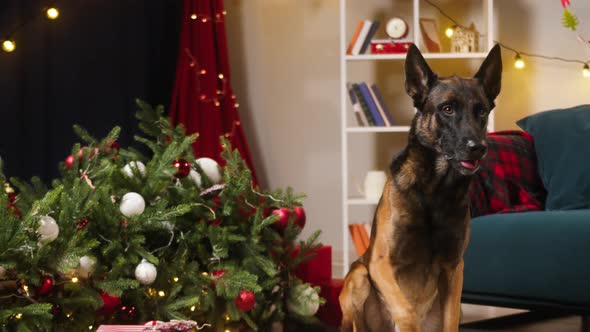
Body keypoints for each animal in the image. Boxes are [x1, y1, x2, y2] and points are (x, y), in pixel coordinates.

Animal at [340, 44, 502, 332]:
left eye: (482, 111)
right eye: (447, 109)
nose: (478, 148)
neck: (435, 190)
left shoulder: (453, 270)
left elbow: (449, 321)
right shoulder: (381, 264)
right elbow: (406, 311)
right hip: (358, 277)